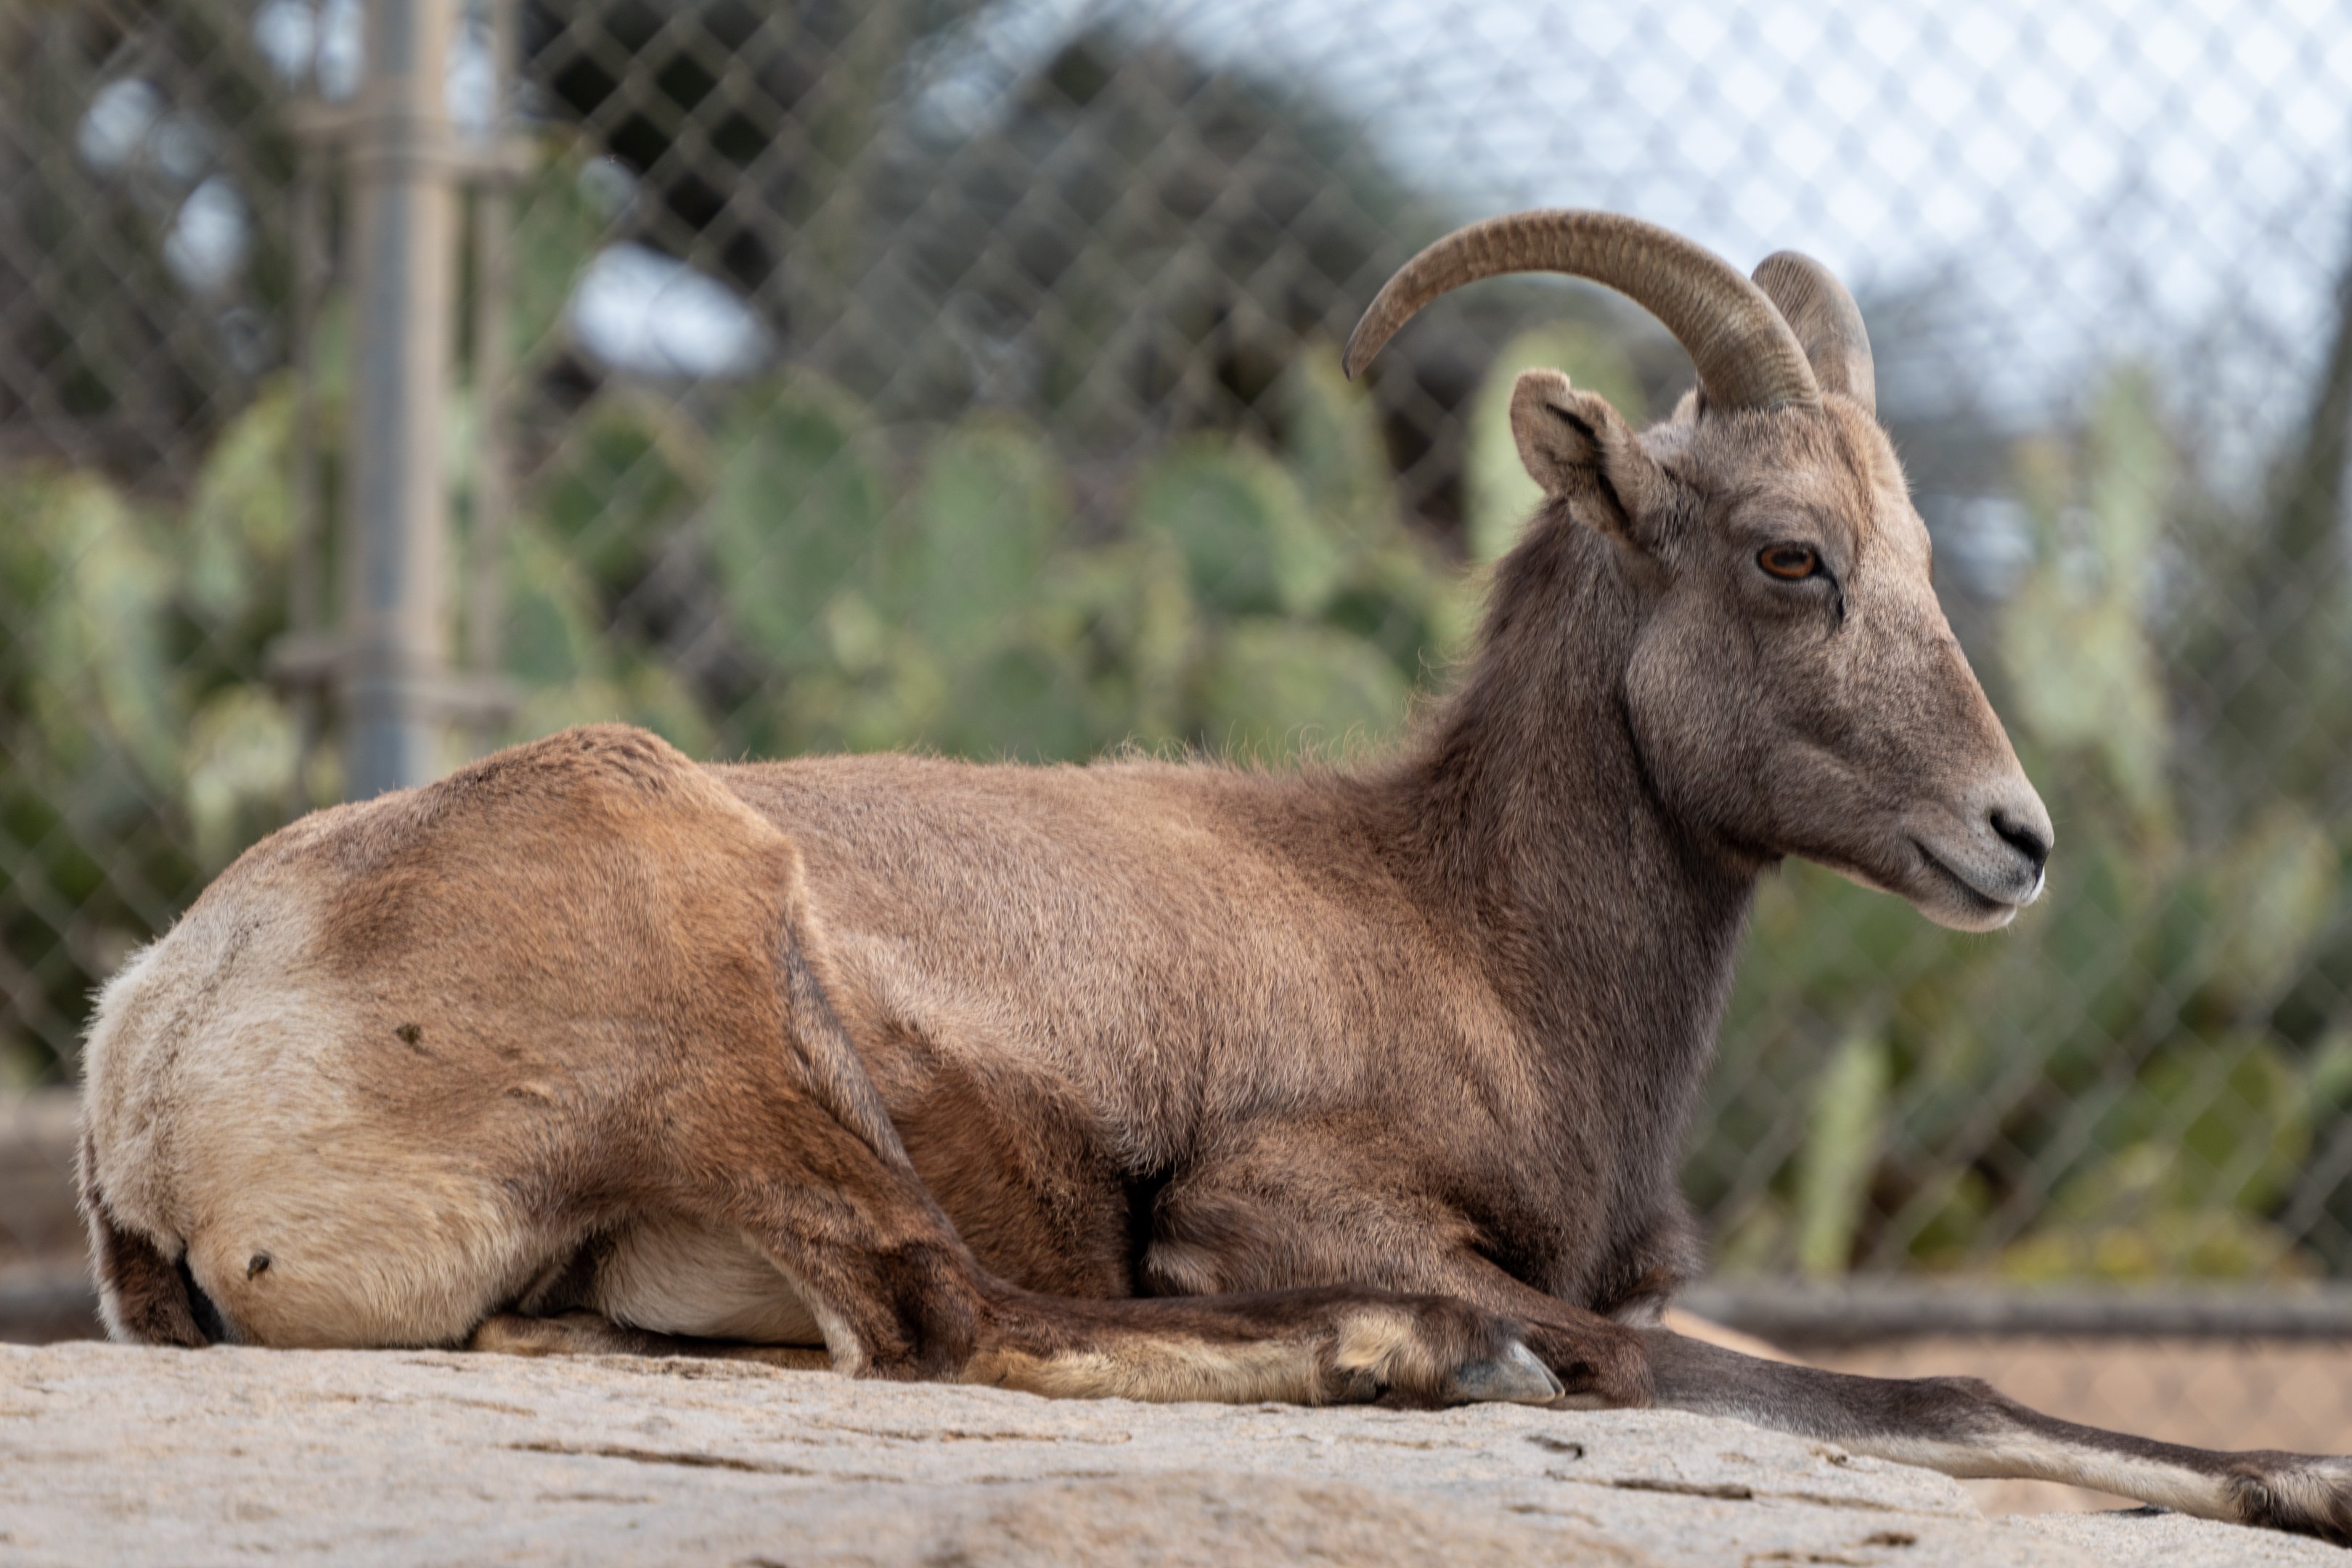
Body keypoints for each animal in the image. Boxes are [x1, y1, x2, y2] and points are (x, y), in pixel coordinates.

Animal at [78, 209, 2352, 1540]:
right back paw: (1413, 1360)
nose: (2011, 839)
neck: (1464, 923)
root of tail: (159, 1059)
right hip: (749, 1003)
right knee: (947, 1319)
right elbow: (1876, 1375)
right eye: (1792, 555)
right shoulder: (1291, 1206)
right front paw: (2306, 1475)